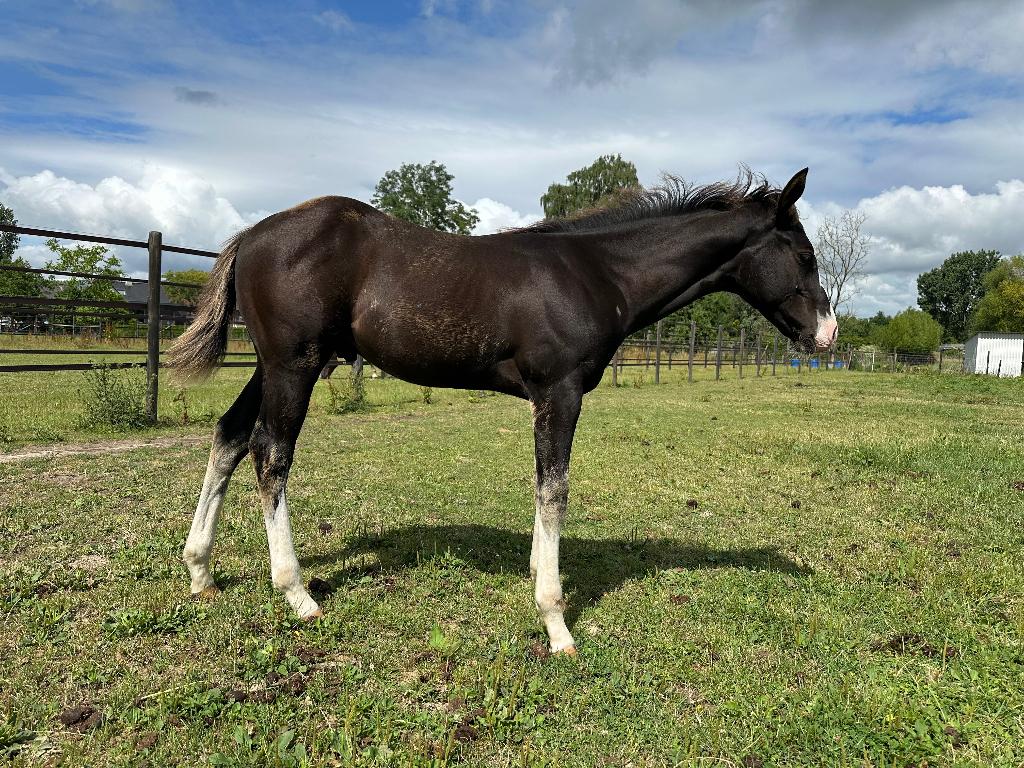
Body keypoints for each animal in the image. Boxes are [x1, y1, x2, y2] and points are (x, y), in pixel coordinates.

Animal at [167, 167, 837, 655]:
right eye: (804, 255)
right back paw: (297, 593)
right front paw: (557, 622)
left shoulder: (546, 399)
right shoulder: (560, 391)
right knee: (270, 453)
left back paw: (201, 572)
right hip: (294, 365)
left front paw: (540, 582)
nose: (827, 334)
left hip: (273, 366)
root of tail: (250, 236)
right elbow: (555, 490)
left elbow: (542, 488)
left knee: (229, 437)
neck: (599, 273)